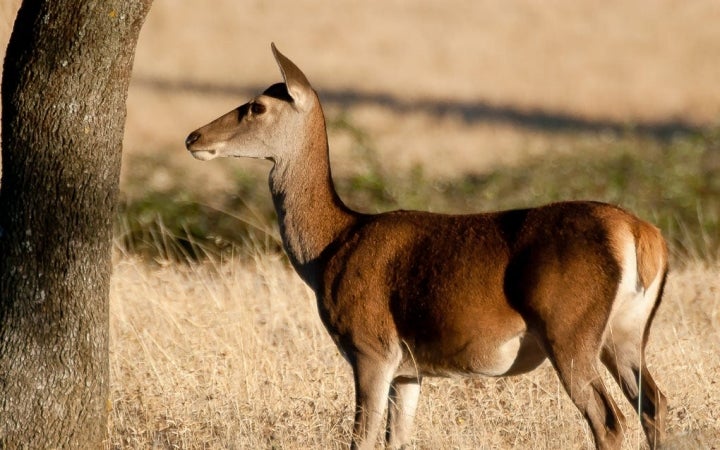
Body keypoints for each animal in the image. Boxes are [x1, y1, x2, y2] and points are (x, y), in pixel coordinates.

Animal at [184, 43, 668, 450]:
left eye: (257, 106)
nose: (194, 137)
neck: (330, 247)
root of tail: (641, 235)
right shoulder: (410, 370)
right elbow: (397, 439)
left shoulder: (371, 347)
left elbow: (361, 439)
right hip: (626, 330)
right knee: (654, 404)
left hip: (568, 327)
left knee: (608, 419)